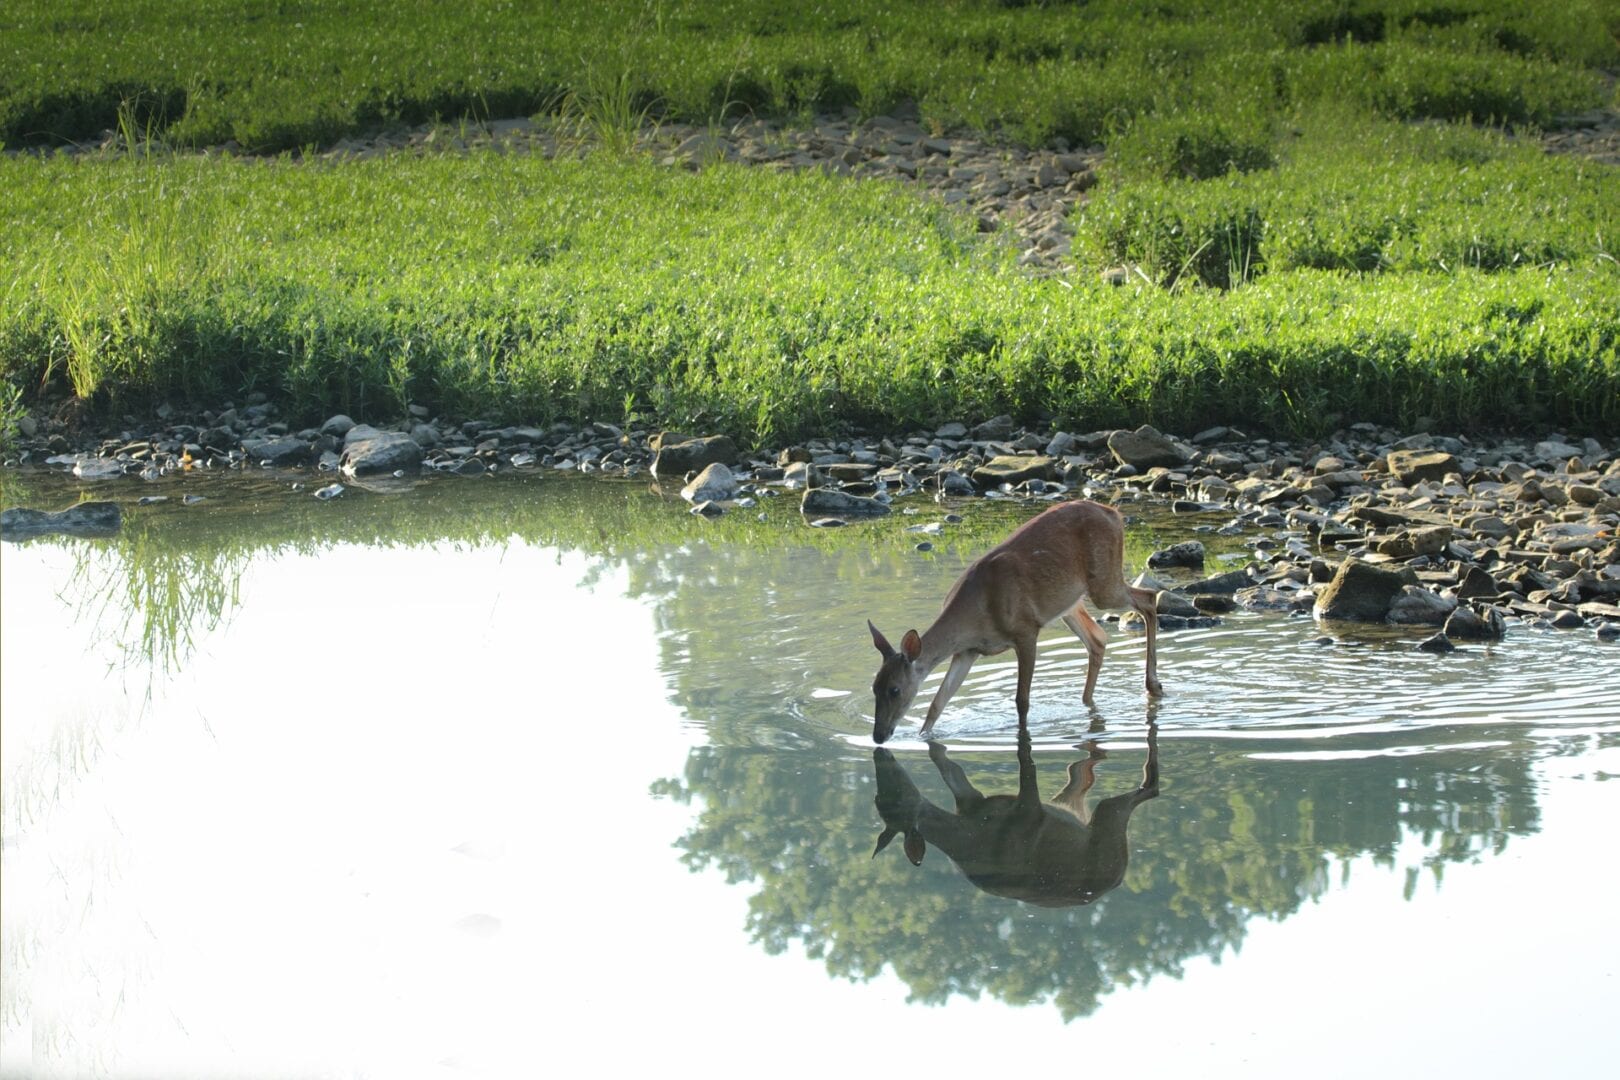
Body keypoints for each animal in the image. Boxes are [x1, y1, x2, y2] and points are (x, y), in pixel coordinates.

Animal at [868, 498, 1159, 744]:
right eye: (874, 687)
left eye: (894, 690)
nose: (878, 736)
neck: (976, 613)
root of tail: (1115, 514)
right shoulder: (968, 650)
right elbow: (937, 703)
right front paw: (923, 736)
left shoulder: (1026, 630)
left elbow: (1022, 700)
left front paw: (1022, 736)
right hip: (1068, 602)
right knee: (1098, 638)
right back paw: (1088, 704)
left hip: (1104, 584)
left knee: (1147, 598)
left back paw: (1153, 685)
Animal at [881, 722, 1159, 906]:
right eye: (879, 801)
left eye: (893, 800)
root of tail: (1118, 878)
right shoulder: (972, 802)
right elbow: (947, 767)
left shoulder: (1029, 811)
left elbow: (1026, 764)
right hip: (1088, 814)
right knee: (1086, 777)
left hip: (1104, 822)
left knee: (1143, 790)